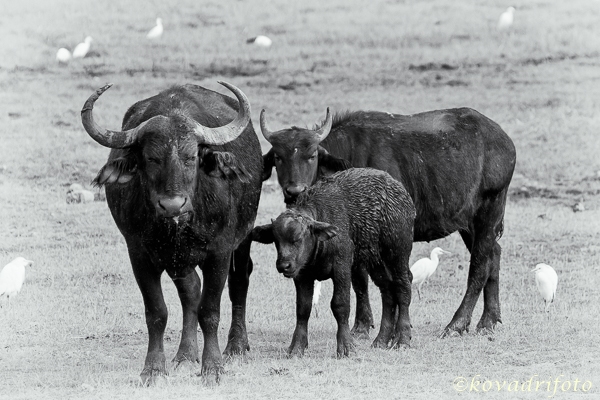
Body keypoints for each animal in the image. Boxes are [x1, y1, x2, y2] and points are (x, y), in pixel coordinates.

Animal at [81, 82, 262, 384]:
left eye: (191, 157)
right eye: (151, 158)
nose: (173, 204)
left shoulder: (220, 252)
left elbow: (210, 310)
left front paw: (212, 367)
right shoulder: (139, 255)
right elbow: (157, 312)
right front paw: (153, 369)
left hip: (242, 240)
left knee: (239, 282)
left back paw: (236, 346)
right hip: (177, 259)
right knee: (190, 291)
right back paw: (186, 354)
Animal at [251, 168, 414, 356]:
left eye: (298, 238)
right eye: (276, 240)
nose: (283, 265)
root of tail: (403, 195)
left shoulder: (342, 269)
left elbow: (340, 305)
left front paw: (346, 346)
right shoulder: (302, 276)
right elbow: (303, 309)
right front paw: (297, 347)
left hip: (398, 256)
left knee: (403, 289)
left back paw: (402, 339)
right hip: (377, 262)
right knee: (387, 292)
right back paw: (381, 340)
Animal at [262, 108, 516, 340]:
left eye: (312, 155)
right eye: (278, 157)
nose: (294, 191)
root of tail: (504, 141)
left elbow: (387, 280)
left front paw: (387, 327)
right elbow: (359, 280)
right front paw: (364, 325)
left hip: (489, 211)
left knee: (480, 265)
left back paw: (457, 324)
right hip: (468, 223)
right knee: (494, 255)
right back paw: (489, 320)